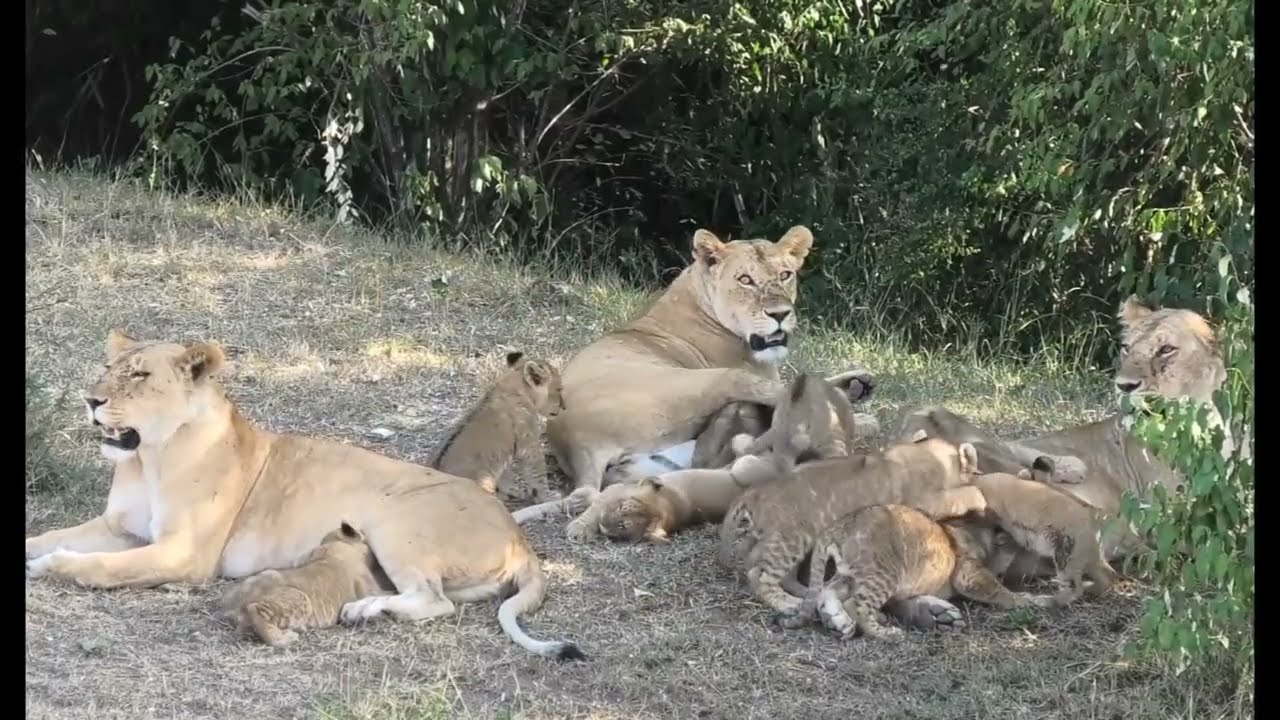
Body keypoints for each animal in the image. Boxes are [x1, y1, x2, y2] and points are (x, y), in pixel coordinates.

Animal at [219, 521, 392, 647]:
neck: (337, 544)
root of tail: (232, 606)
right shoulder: (367, 586)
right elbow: (384, 594)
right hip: (299, 597)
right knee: (255, 609)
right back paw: (284, 639)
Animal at [430, 351, 565, 503]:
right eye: (559, 389)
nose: (564, 407)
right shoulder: (529, 443)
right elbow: (537, 474)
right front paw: (547, 497)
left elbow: (505, 476)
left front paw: (510, 491)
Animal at [720, 436, 988, 620]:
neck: (931, 453)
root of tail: (755, 493)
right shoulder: (926, 500)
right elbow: (965, 493)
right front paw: (981, 501)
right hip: (791, 538)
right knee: (761, 575)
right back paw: (788, 603)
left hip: (785, 539)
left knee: (767, 570)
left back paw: (806, 592)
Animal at [779, 506, 1043, 640]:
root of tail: (839, 525)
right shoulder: (968, 574)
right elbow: (998, 591)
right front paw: (1028, 600)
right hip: (886, 572)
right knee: (857, 605)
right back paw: (885, 632)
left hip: (852, 575)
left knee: (827, 590)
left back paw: (840, 622)